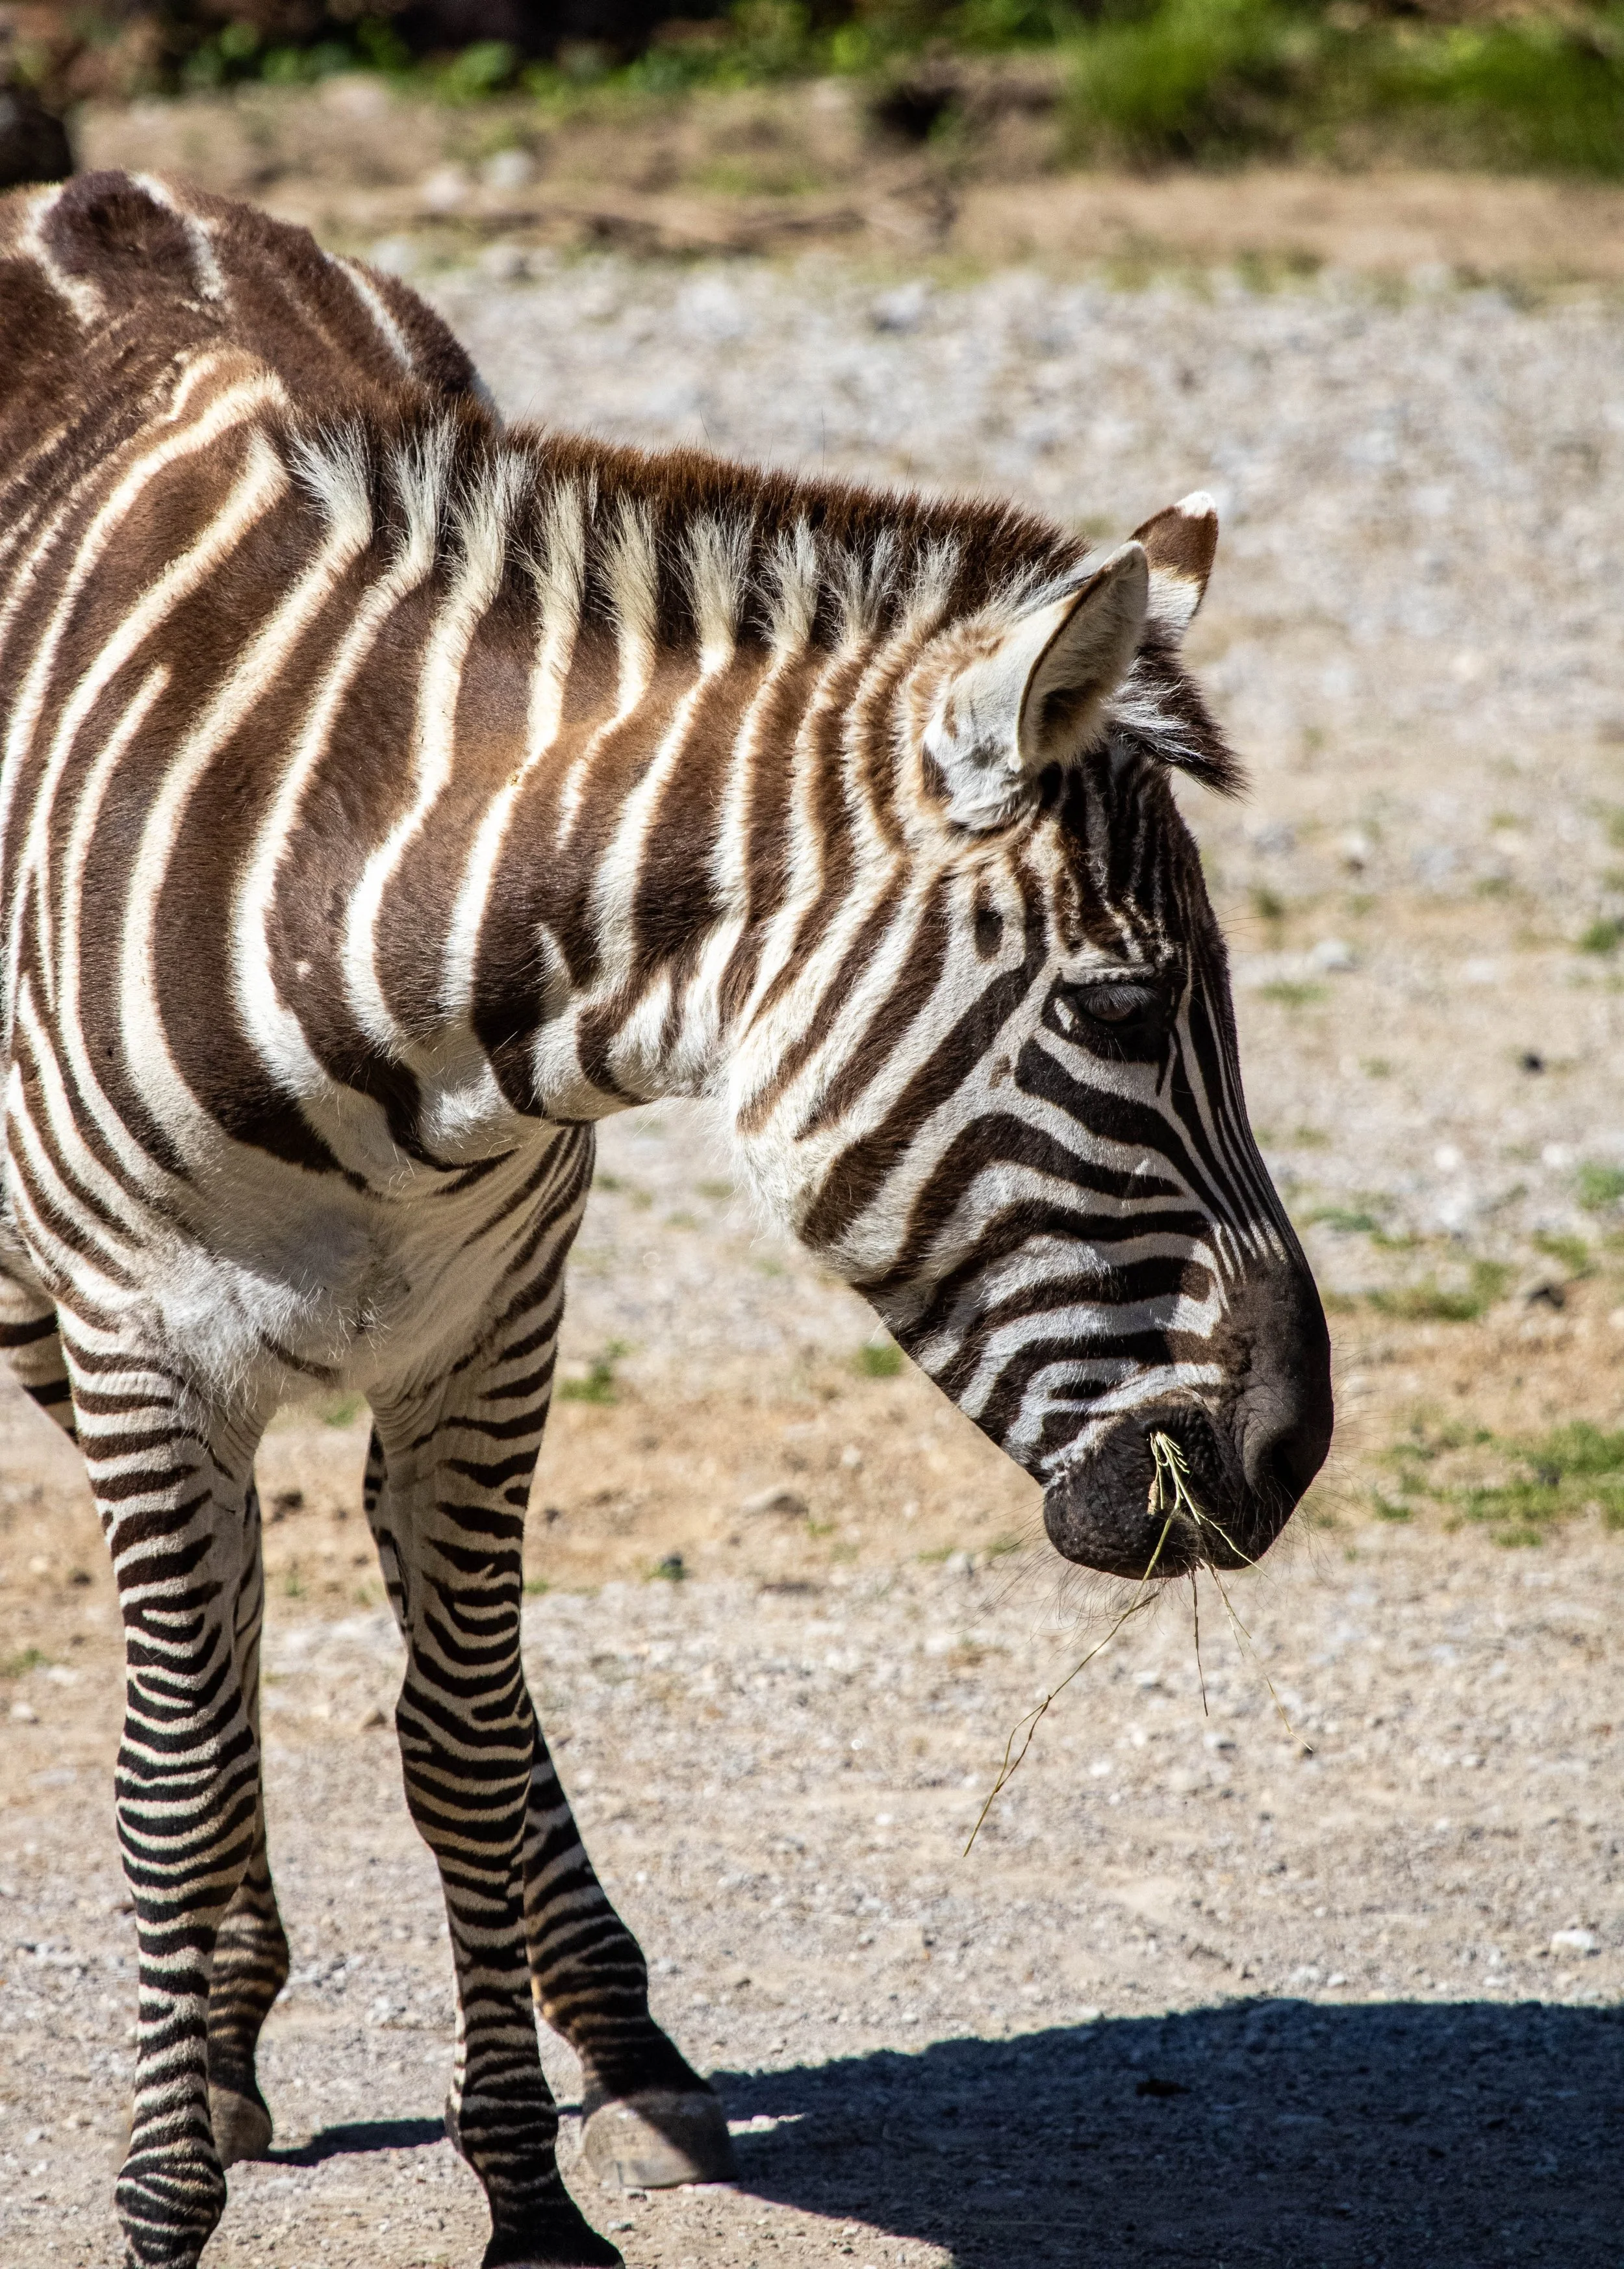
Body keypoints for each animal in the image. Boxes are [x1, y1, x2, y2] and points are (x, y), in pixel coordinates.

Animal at [0, 171, 1331, 2269]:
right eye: (1124, 1012)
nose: (1290, 1450)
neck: (382, 940)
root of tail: (100, 189)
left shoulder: (499, 1323)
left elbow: (456, 1746)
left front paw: (526, 2192)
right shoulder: (142, 1346)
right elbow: (168, 1768)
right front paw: (156, 2197)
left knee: (419, 1630)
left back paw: (602, 2037)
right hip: (48, 1311)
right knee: (220, 1657)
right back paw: (218, 2031)